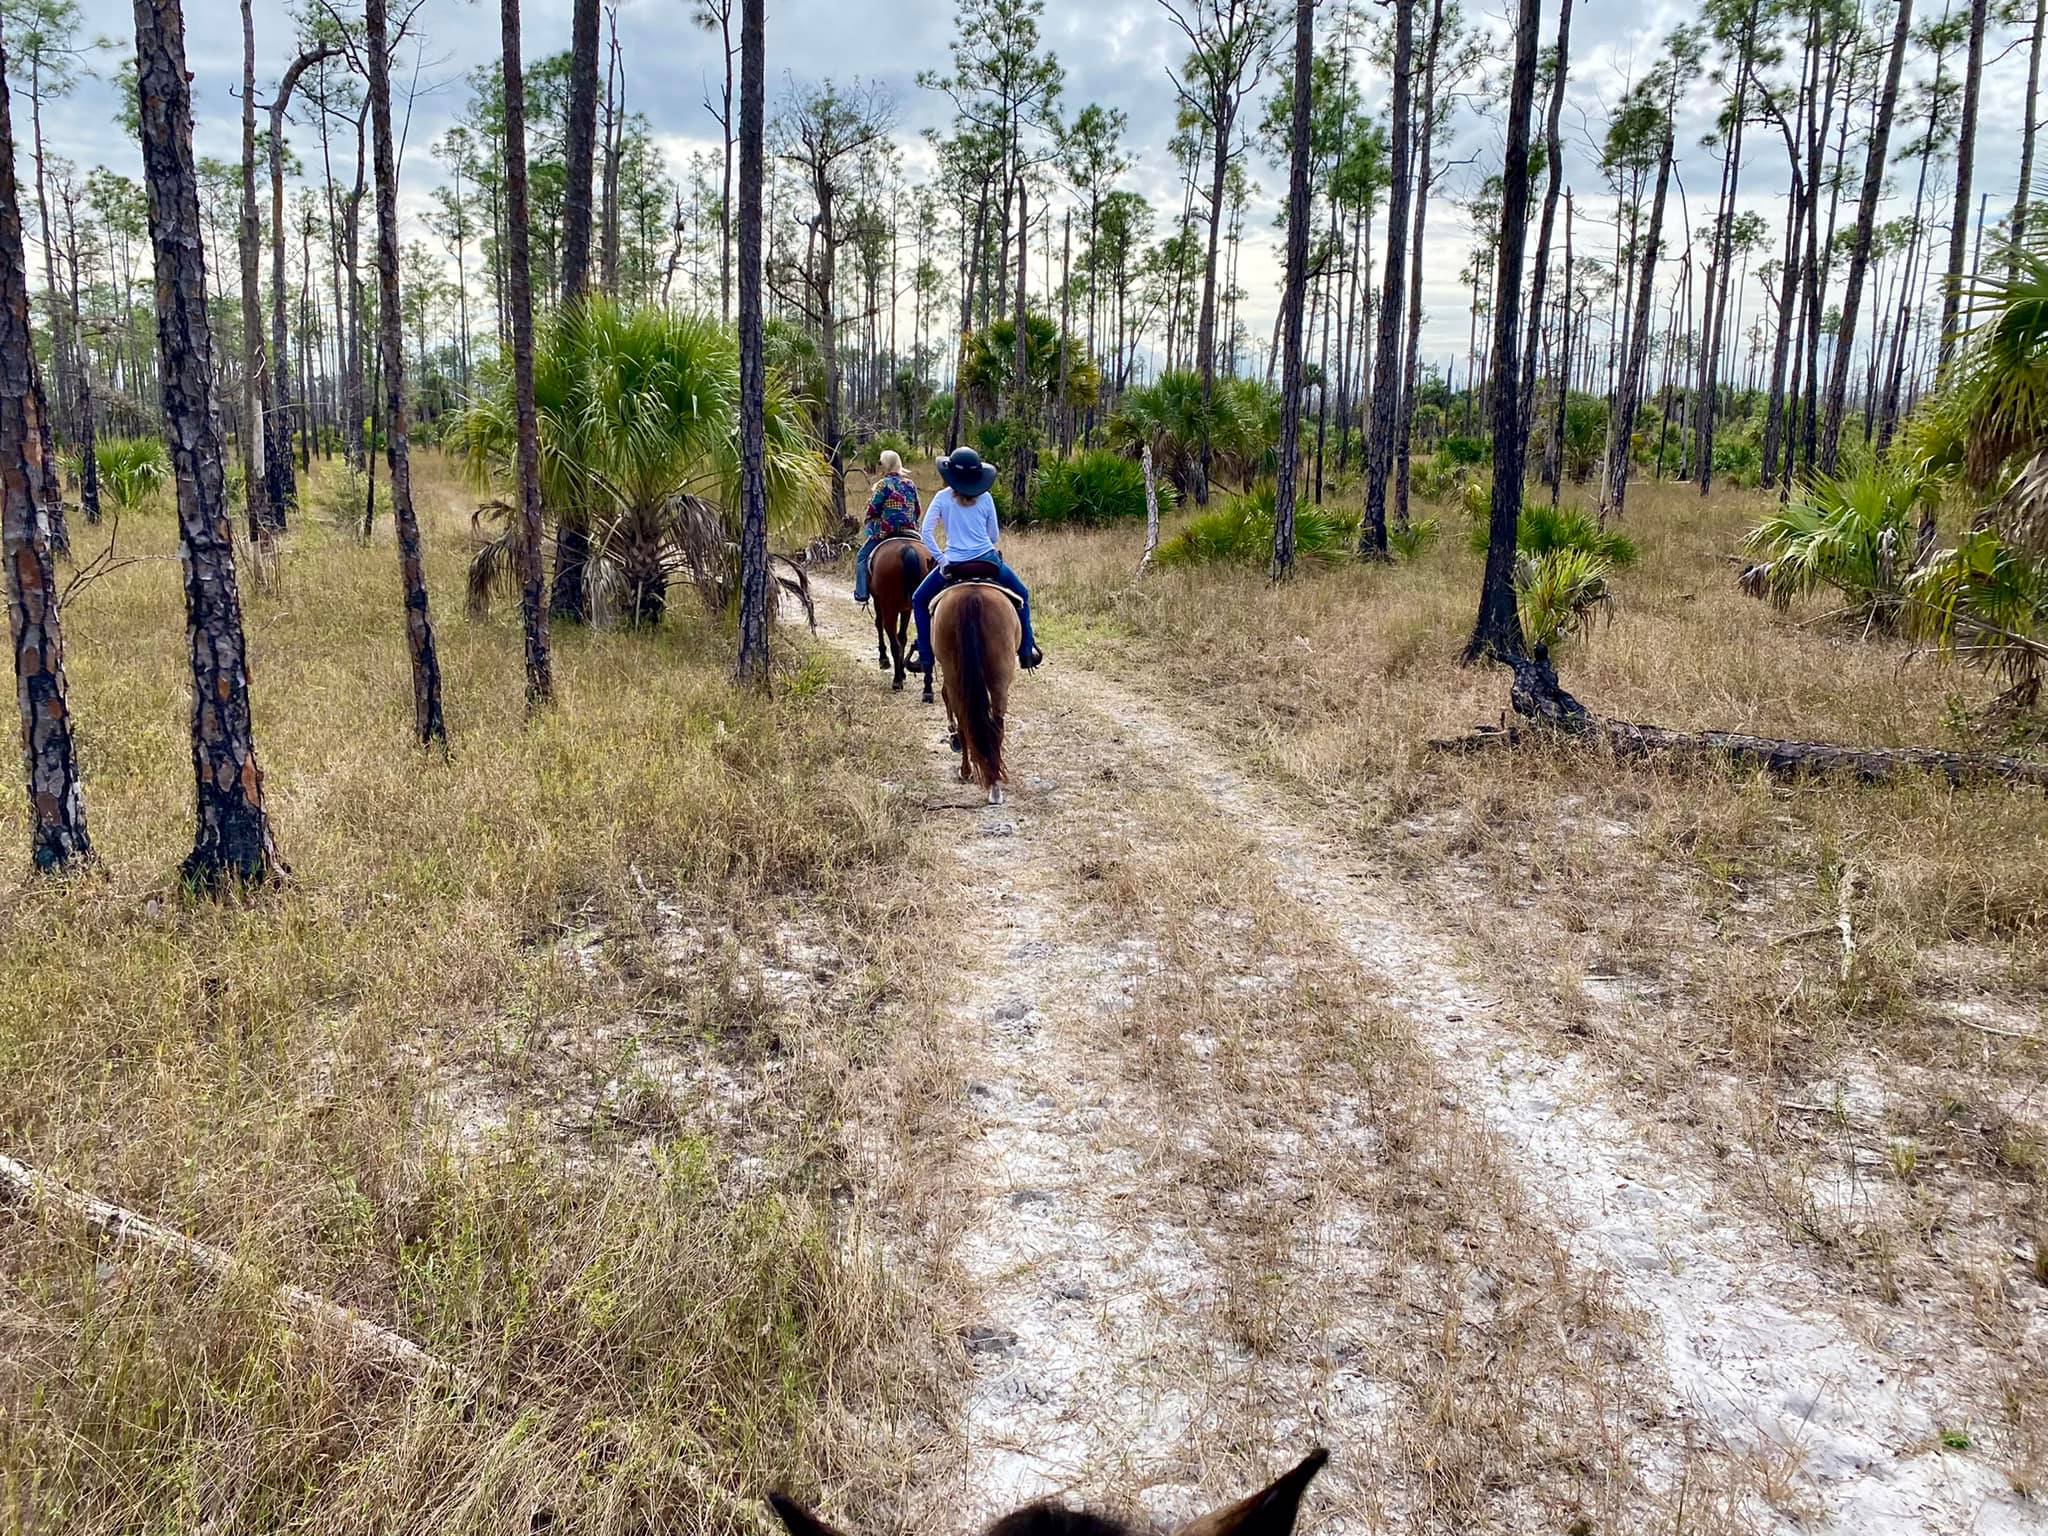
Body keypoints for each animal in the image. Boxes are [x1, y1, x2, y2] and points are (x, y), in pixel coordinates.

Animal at [864, 528, 937, 696]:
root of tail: (907, 549)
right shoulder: (906, 608)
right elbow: (903, 636)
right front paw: (903, 672)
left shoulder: (878, 600)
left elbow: (878, 624)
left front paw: (883, 660)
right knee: (903, 638)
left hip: (889, 606)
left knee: (893, 640)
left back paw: (896, 680)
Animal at [933, 573, 1019, 806]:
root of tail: (972, 597)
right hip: (999, 678)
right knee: (993, 725)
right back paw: (991, 783)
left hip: (956, 675)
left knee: (966, 720)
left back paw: (970, 772)